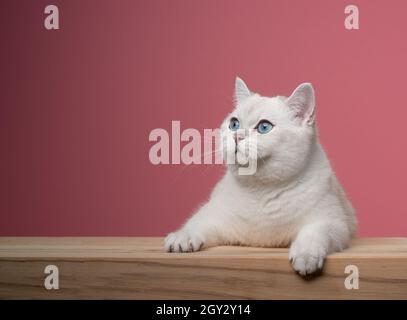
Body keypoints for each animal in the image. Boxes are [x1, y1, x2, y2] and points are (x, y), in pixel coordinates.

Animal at [165, 77, 356, 276]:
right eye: (234, 124)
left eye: (264, 127)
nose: (237, 136)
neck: (260, 189)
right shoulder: (215, 215)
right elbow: (195, 223)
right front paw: (181, 238)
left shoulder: (333, 222)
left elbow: (314, 233)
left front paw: (305, 256)